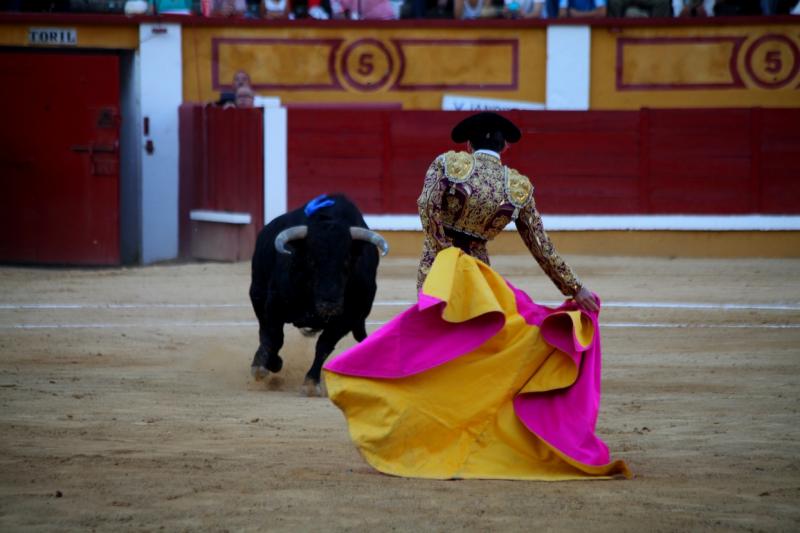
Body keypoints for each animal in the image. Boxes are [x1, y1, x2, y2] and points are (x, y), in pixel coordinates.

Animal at [248, 194, 390, 390]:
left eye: (347, 261)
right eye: (310, 260)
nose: (329, 304)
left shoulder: (348, 317)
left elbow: (324, 345)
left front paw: (311, 382)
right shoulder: (274, 305)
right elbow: (274, 337)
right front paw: (267, 365)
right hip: (257, 293)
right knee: (264, 331)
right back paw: (260, 363)